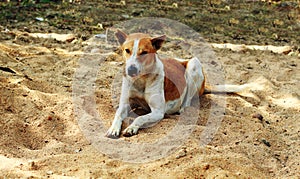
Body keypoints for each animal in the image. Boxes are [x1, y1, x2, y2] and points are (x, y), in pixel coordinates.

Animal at [106, 30, 251, 138]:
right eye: (127, 50)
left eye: (144, 52)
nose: (131, 70)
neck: (141, 79)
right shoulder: (125, 104)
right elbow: (118, 114)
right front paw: (113, 129)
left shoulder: (158, 111)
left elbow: (140, 118)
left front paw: (131, 128)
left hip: (194, 64)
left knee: (187, 101)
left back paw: (181, 110)